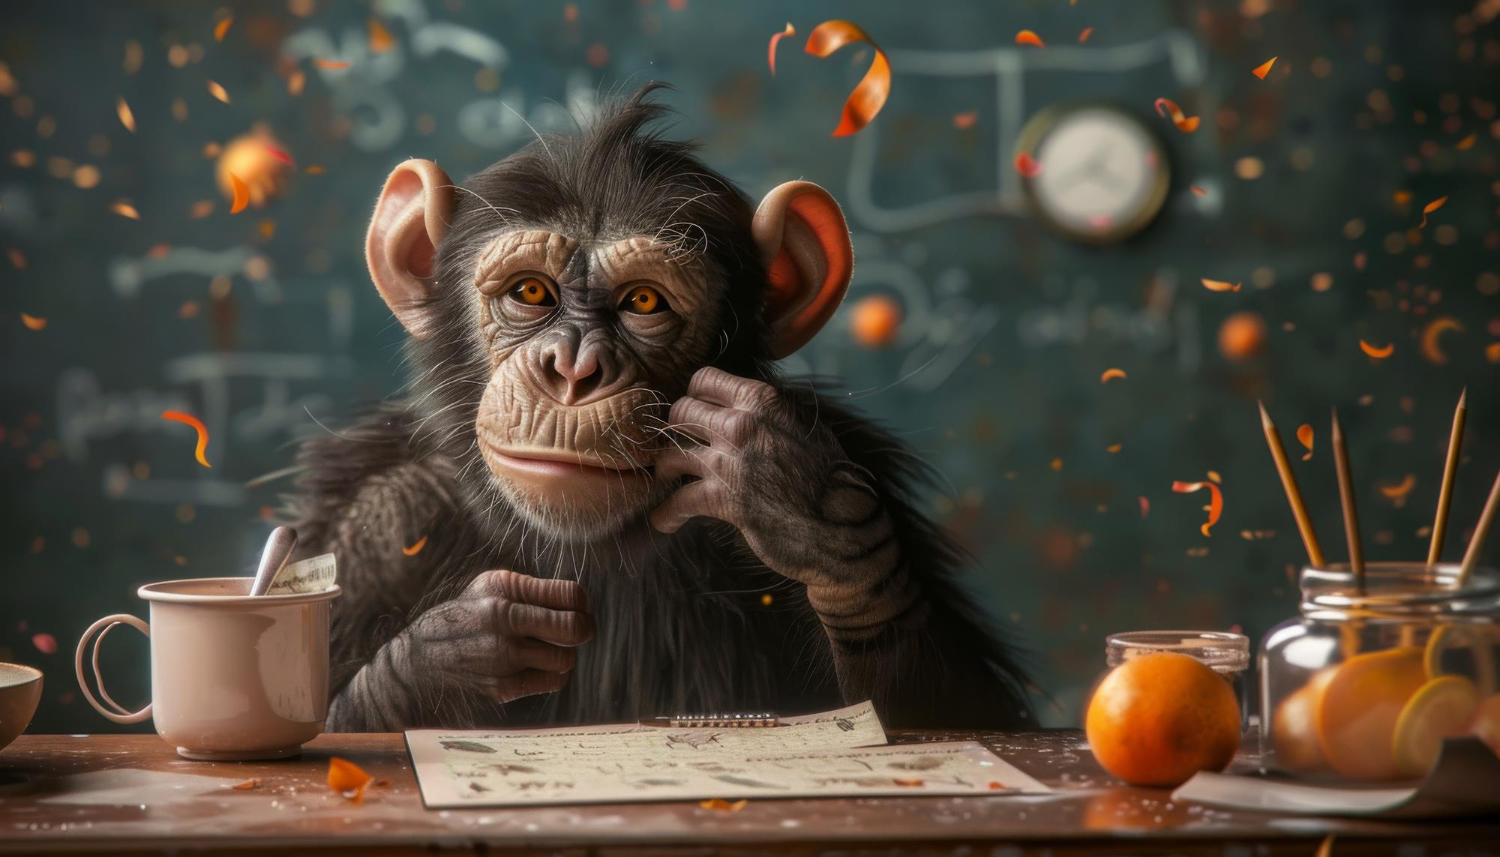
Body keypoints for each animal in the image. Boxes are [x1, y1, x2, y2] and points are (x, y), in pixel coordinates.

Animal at [283, 84, 1035, 732]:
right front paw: (452, 657)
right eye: (531, 292)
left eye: (643, 301)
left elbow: (956, 712)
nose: (574, 368)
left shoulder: (868, 467)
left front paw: (800, 500)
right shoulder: (378, 527)